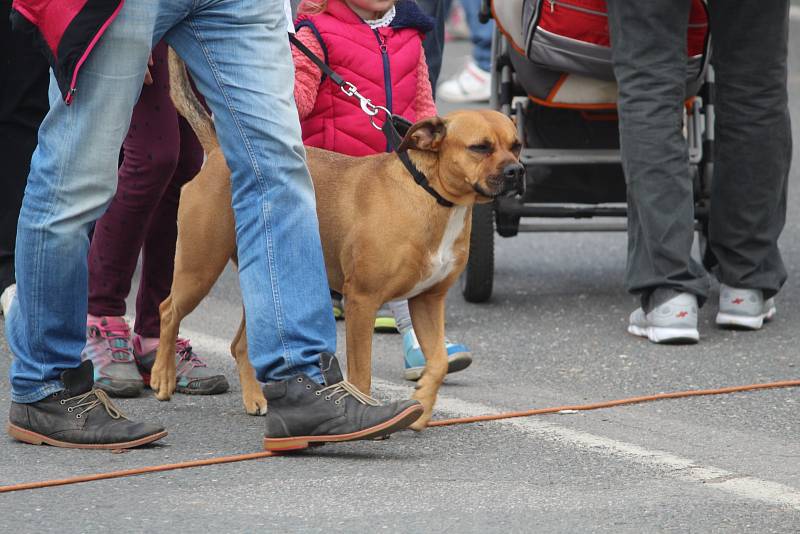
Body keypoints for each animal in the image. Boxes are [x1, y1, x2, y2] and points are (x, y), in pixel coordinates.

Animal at [150, 51, 524, 432]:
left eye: (516, 145)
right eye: (480, 148)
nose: (517, 172)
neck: (428, 194)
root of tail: (218, 153)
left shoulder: (427, 301)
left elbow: (438, 363)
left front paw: (422, 404)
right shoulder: (361, 301)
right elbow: (361, 374)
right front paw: (366, 415)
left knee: (240, 344)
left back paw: (255, 398)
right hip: (200, 267)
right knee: (169, 310)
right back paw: (163, 376)